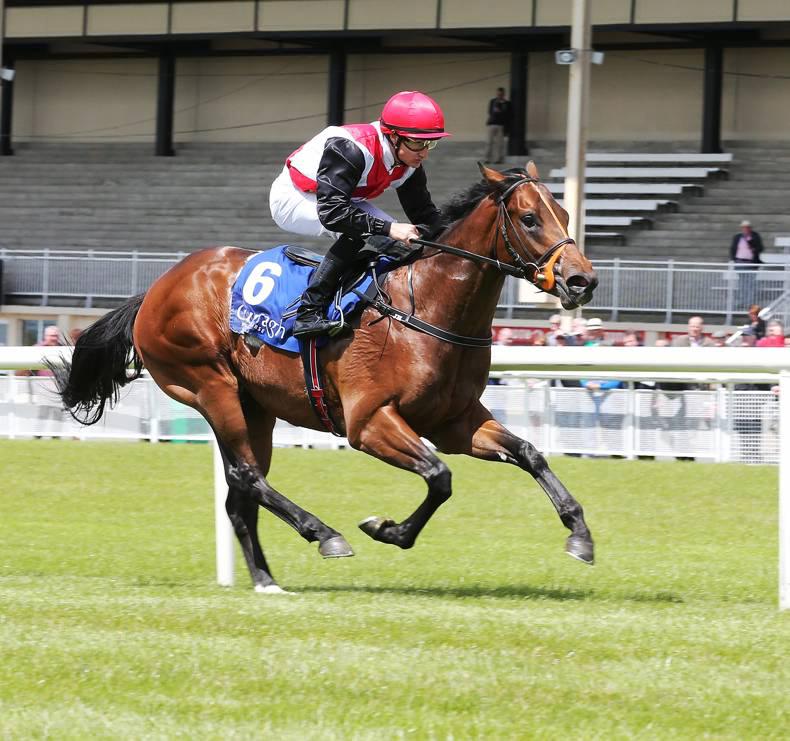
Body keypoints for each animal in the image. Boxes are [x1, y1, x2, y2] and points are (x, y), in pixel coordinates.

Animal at [50, 162, 598, 593]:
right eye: (529, 218)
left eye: (566, 214)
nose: (582, 281)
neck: (427, 306)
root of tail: (158, 287)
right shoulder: (369, 422)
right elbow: (439, 477)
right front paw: (387, 530)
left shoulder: (455, 422)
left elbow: (528, 453)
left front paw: (580, 536)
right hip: (210, 385)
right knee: (246, 476)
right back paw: (324, 534)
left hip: (255, 408)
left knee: (240, 494)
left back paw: (267, 581)